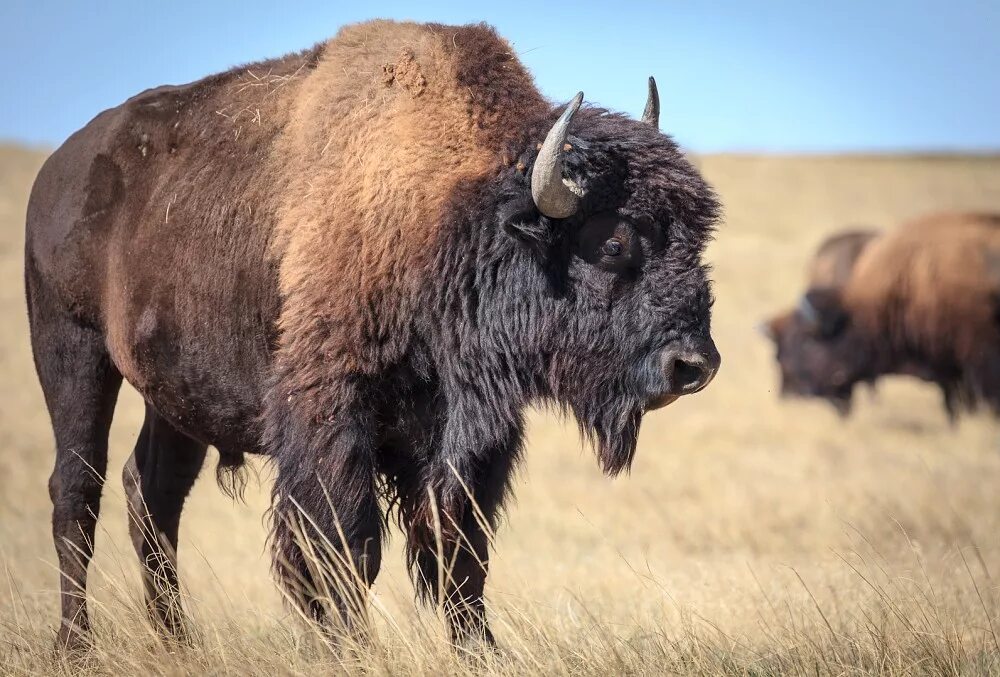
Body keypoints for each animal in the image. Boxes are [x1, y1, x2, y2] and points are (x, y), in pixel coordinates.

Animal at [23, 18, 724, 648]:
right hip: (71, 350)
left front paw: (479, 649)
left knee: (152, 494)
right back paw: (75, 644)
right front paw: (350, 645)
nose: (693, 366)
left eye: (696, 241)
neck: (448, 214)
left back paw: (177, 641)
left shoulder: (468, 437)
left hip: (174, 396)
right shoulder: (334, 417)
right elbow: (347, 545)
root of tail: (56, 170)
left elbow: (458, 549)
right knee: (77, 492)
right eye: (613, 243)